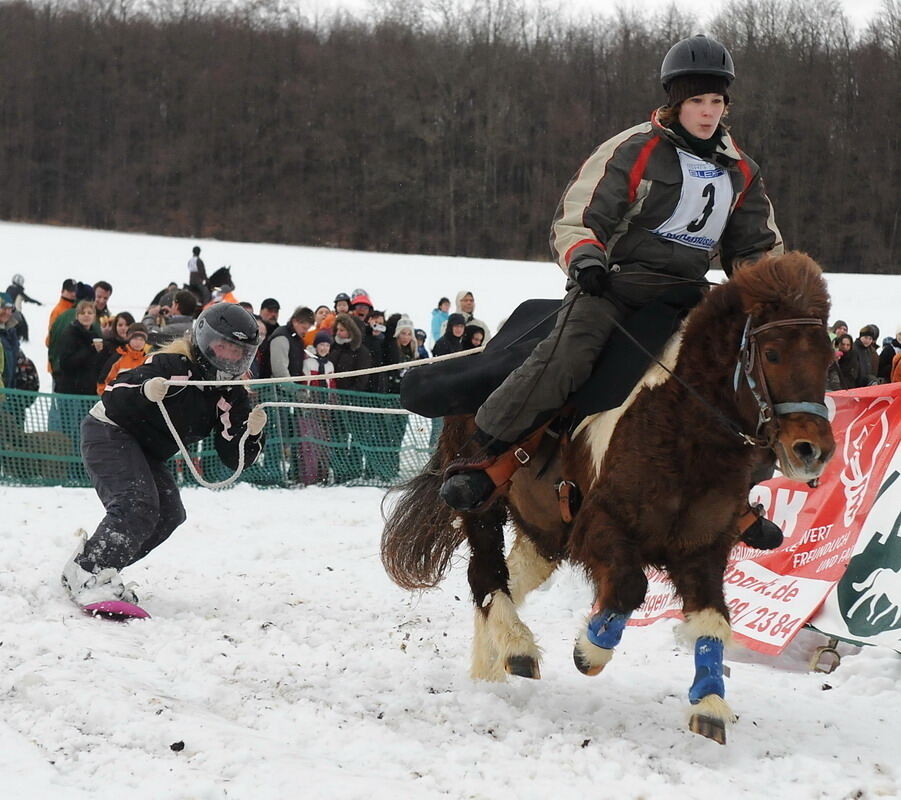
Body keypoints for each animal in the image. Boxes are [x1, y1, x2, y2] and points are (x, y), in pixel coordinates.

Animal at [376, 250, 832, 744]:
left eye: (828, 358)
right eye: (772, 353)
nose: (813, 450)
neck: (683, 427)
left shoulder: (702, 547)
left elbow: (712, 620)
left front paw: (710, 703)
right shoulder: (600, 525)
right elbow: (630, 587)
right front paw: (590, 649)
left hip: (543, 528)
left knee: (512, 577)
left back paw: (490, 666)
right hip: (484, 506)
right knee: (486, 574)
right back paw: (516, 647)